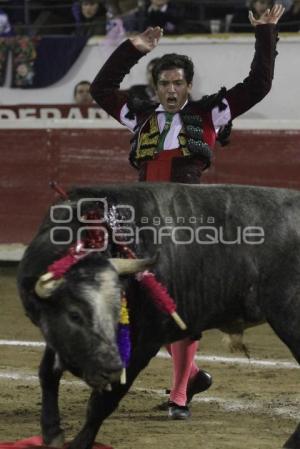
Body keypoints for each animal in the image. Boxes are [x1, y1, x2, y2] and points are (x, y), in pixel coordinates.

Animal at [17, 183, 300, 448]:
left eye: (117, 311)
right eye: (74, 315)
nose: (111, 366)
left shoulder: (143, 345)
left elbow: (103, 402)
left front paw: (78, 443)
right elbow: (47, 373)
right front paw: (52, 431)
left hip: (289, 322)